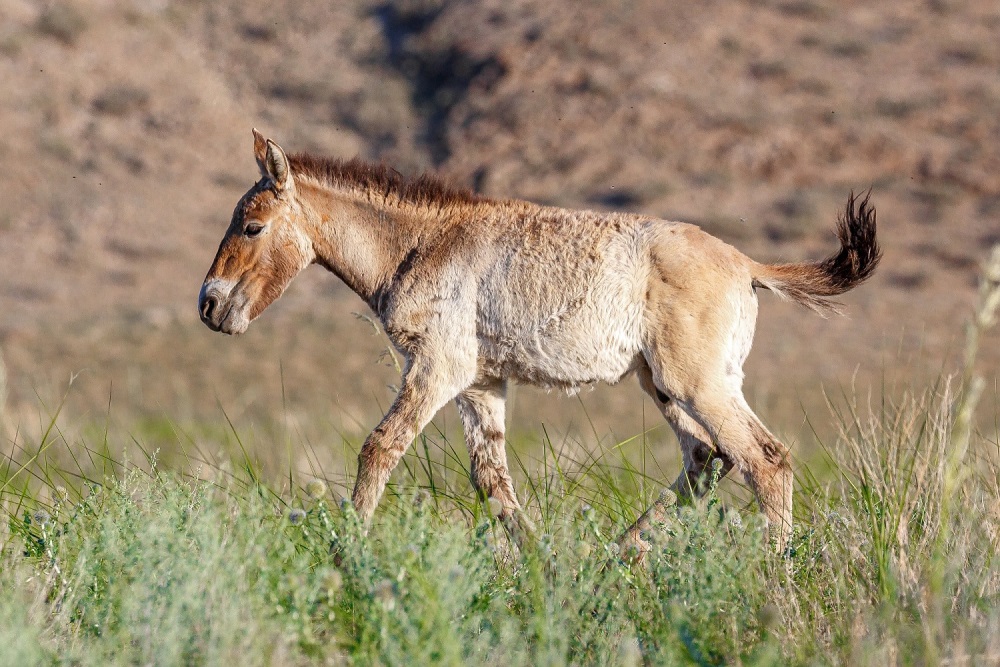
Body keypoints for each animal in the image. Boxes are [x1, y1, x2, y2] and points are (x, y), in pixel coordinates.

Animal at [199, 130, 880, 552]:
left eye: (253, 226)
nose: (208, 305)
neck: (422, 244)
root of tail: (746, 264)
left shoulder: (436, 370)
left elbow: (379, 448)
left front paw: (348, 552)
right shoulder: (479, 384)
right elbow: (492, 482)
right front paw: (540, 565)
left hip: (698, 384)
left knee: (766, 460)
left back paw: (772, 581)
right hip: (661, 386)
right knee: (707, 459)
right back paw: (617, 557)